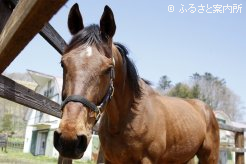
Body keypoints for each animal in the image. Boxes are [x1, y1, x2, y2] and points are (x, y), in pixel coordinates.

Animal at [54, 3, 219, 164]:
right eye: (63, 63)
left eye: (108, 69)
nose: (69, 139)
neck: (126, 121)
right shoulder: (110, 159)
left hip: (209, 157)